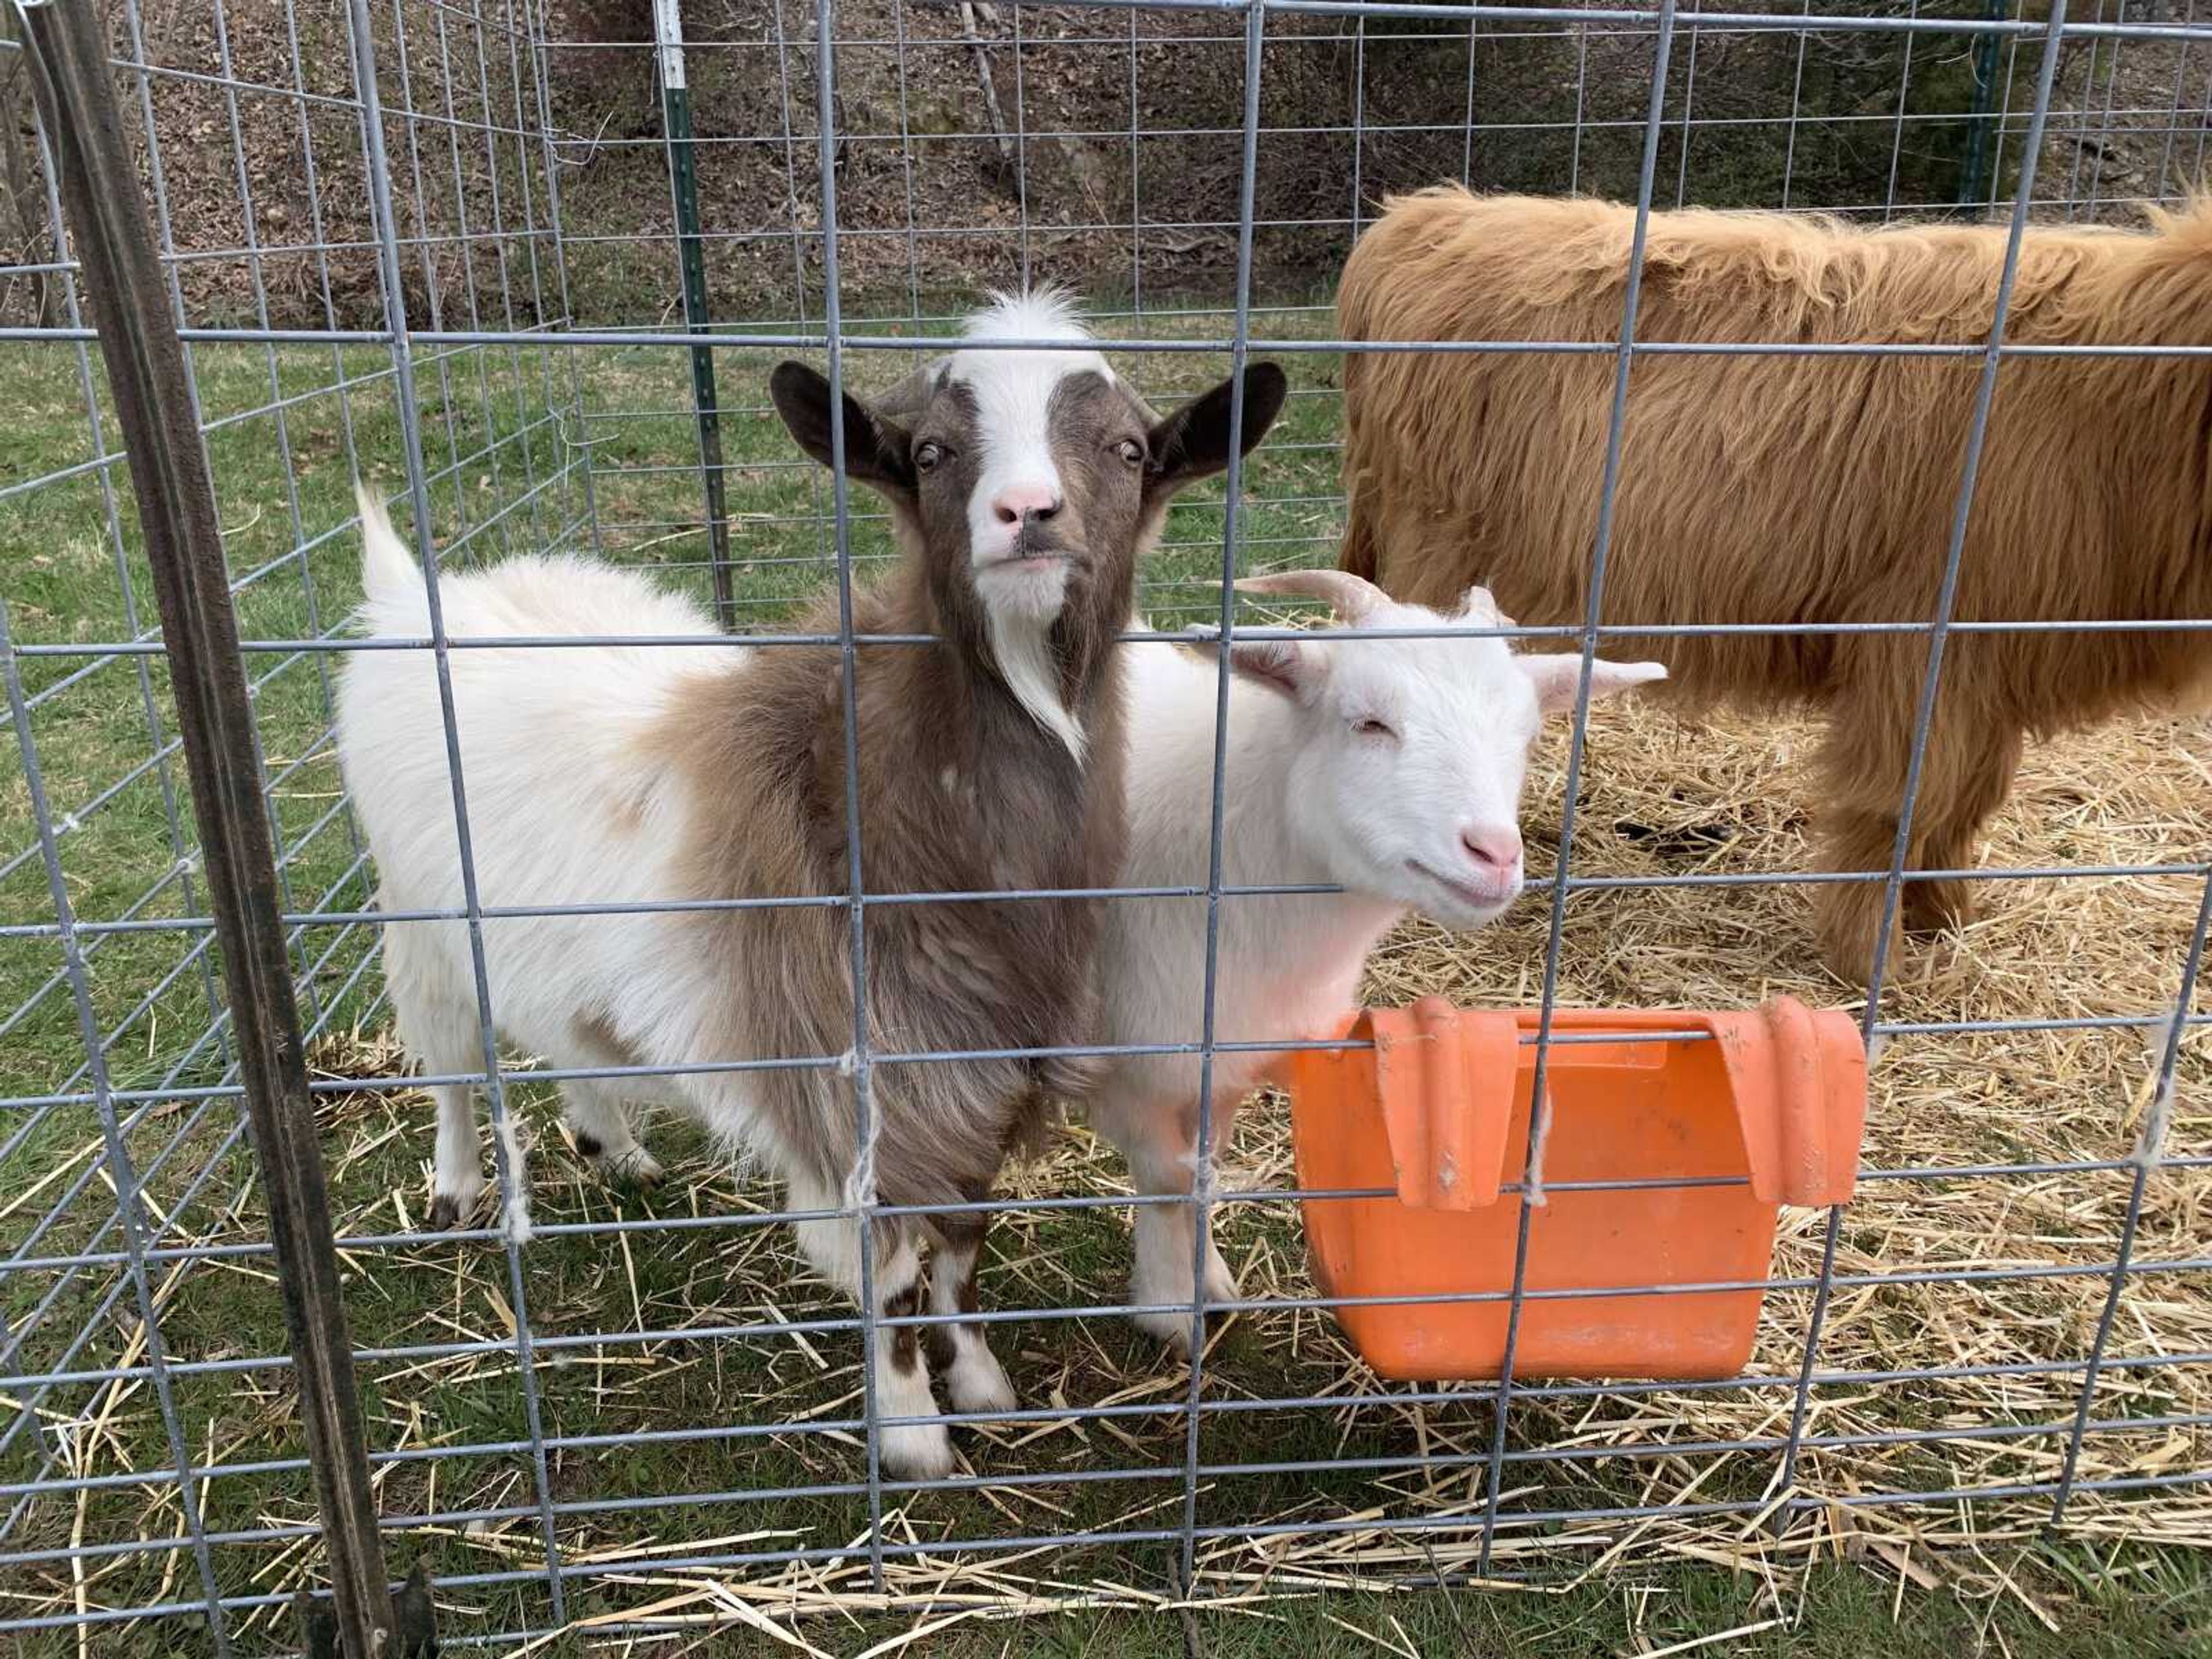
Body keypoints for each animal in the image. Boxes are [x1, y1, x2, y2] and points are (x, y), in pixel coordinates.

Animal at [336, 291, 1291, 1478]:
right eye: (930, 453)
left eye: (1126, 448)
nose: (1028, 514)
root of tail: (413, 593)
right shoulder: (857, 1085)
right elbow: (893, 1269)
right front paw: (915, 1439)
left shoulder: (981, 1074)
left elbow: (964, 1241)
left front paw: (982, 1387)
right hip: (419, 923)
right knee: (453, 1063)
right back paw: (460, 1186)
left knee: (570, 1037)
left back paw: (617, 1147)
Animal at [1088, 570, 1663, 1354]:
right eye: (1368, 724)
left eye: (1525, 736)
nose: (1494, 855)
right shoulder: (1129, 1059)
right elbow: (1168, 1180)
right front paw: (1170, 1308)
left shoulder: (1231, 1046)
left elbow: (1205, 1167)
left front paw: (1208, 1281)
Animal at [1336, 188, 2212, 982]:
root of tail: (1424, 215)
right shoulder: (1925, 651)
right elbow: (1902, 804)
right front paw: (1875, 962)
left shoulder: (1988, 665)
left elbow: (1965, 801)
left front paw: (1946, 920)